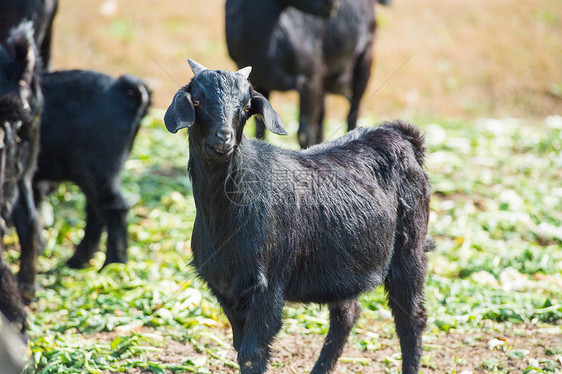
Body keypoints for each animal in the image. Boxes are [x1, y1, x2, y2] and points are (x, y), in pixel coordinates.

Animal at [14, 70, 151, 270]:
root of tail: (122, 89)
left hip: (95, 167)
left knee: (114, 207)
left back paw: (112, 265)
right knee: (96, 209)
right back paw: (79, 261)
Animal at [164, 60, 430, 372]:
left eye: (245, 106)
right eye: (197, 100)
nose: (223, 137)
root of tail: (402, 136)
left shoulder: (269, 287)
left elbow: (252, 353)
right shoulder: (224, 289)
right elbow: (240, 347)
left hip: (410, 249)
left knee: (411, 318)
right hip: (341, 264)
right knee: (347, 313)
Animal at [225, 0, 382, 148]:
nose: (333, 4)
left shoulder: (310, 79)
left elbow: (304, 132)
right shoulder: (261, 83)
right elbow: (260, 129)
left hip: (364, 60)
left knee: (354, 109)